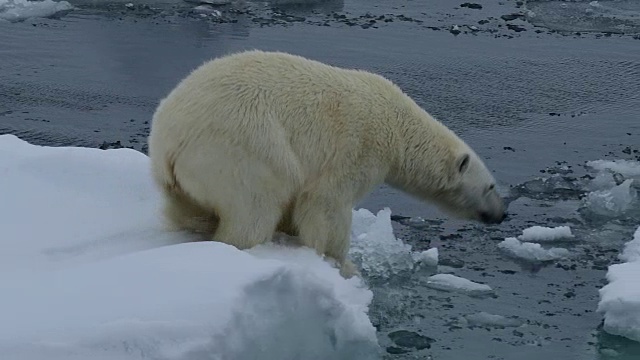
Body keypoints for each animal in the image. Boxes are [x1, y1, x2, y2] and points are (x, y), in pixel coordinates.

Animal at [148, 49, 508, 278]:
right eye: (490, 186)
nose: (501, 214)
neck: (399, 126)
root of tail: (171, 140)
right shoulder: (358, 148)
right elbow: (325, 205)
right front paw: (343, 264)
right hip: (244, 147)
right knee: (256, 204)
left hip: (181, 177)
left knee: (187, 207)